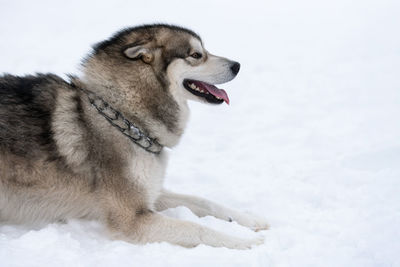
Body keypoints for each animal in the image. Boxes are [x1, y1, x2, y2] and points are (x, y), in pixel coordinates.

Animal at [0, 24, 268, 250]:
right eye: (195, 55)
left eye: (203, 51)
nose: (237, 65)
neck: (125, 117)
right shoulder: (132, 218)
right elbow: (196, 228)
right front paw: (245, 242)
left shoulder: (150, 192)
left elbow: (205, 202)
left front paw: (250, 220)